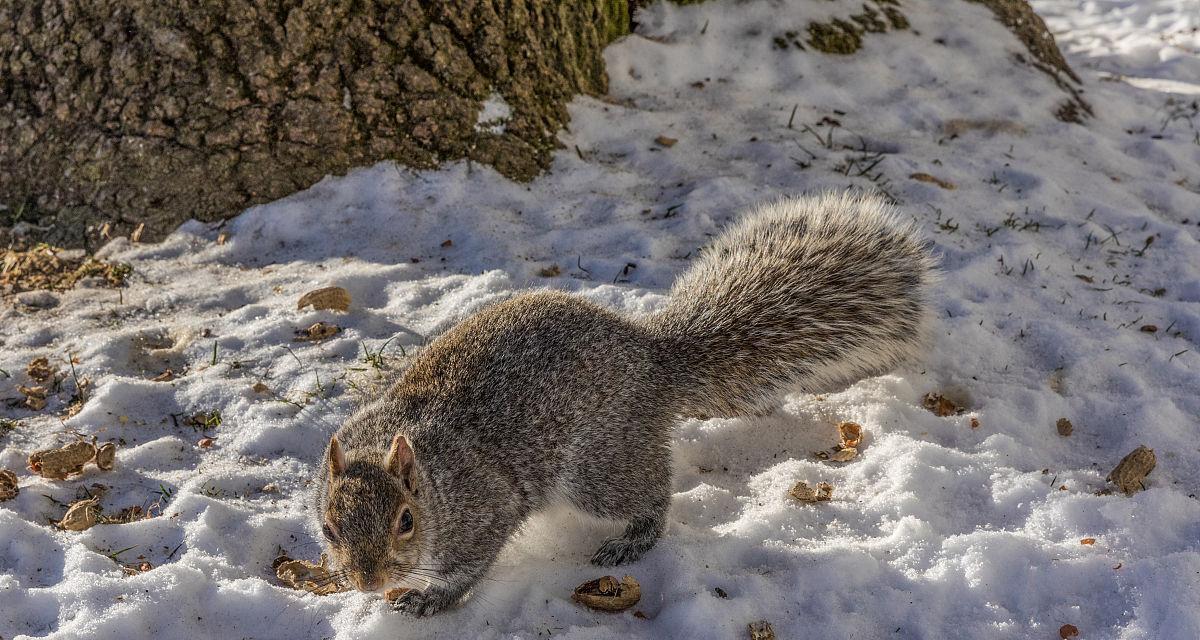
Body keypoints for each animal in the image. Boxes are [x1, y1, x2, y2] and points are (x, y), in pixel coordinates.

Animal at [316, 189, 936, 614]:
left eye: (406, 521)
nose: (367, 582)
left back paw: (631, 540)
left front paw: (431, 600)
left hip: (601, 465)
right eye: (327, 527)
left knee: (650, 497)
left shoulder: (483, 509)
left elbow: (469, 568)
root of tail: (654, 357)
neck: (430, 476)